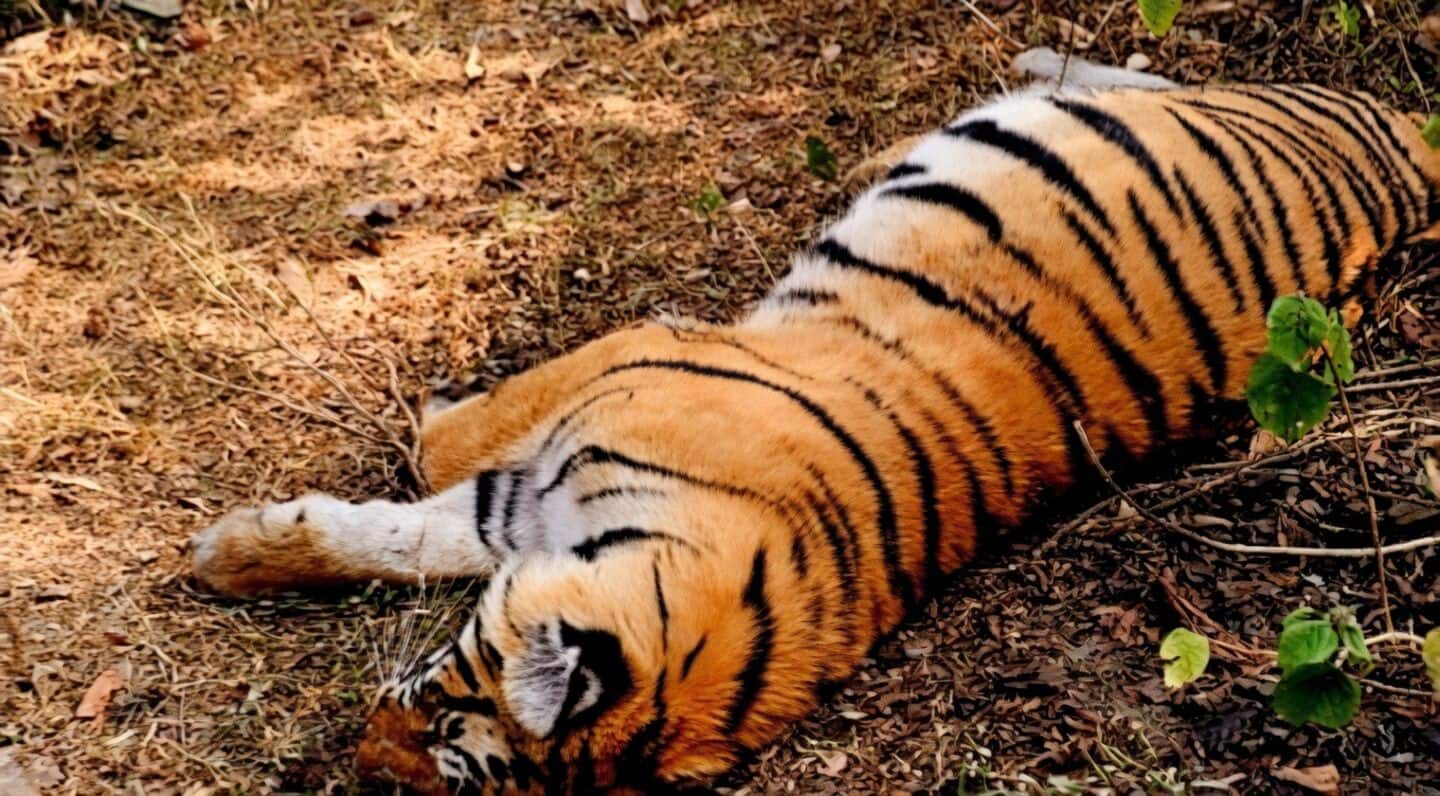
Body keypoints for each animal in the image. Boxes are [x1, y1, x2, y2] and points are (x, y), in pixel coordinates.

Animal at [188, 49, 1440, 795]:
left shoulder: (591, 409)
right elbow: (400, 517)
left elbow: (428, 478)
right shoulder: (550, 467)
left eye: (443, 739)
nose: (356, 753)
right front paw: (234, 557)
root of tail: (1413, 147)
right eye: (433, 701)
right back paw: (1041, 57)